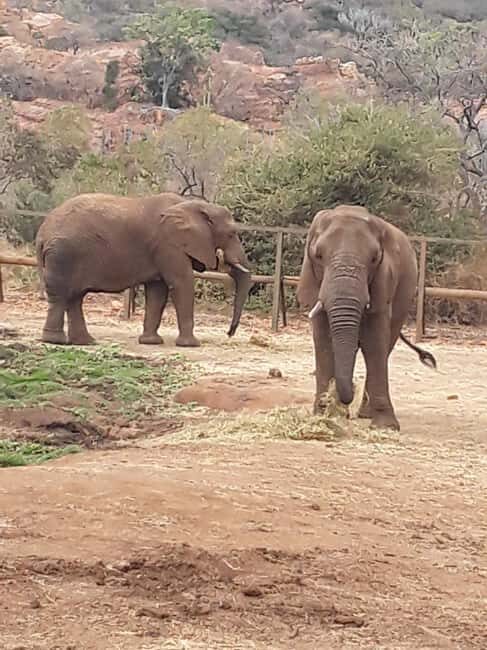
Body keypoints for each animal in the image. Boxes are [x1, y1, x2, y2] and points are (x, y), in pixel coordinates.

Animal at [36, 192, 253, 347]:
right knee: (62, 295)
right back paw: (55, 341)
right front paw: (191, 345)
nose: (229, 333)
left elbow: (157, 291)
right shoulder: (168, 245)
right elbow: (181, 283)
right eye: (232, 234)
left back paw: (85, 342)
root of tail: (42, 232)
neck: (192, 205)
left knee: (75, 297)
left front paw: (151, 342)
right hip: (62, 254)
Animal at [297, 205, 436, 431]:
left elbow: (374, 341)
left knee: (386, 344)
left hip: (406, 293)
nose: (347, 394)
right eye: (318, 256)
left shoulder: (383, 282)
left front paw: (385, 427)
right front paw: (324, 416)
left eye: (374, 258)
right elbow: (324, 340)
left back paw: (365, 414)